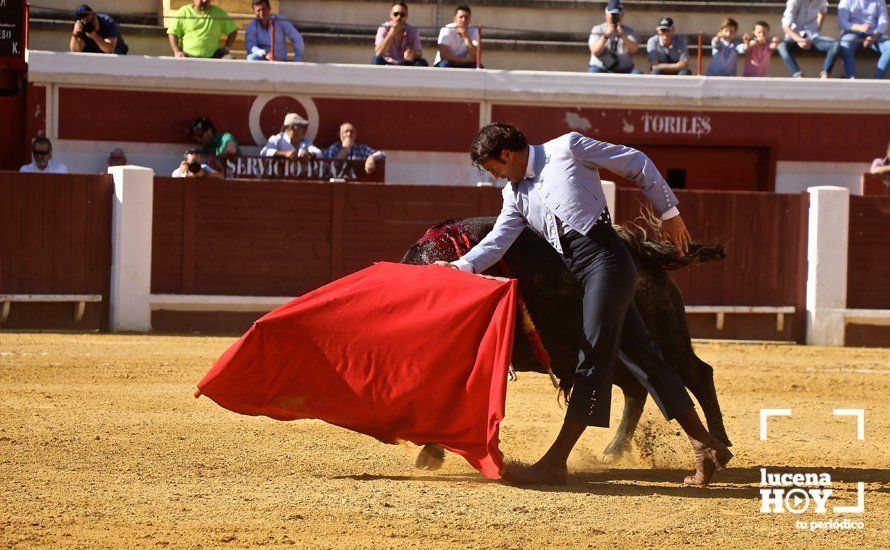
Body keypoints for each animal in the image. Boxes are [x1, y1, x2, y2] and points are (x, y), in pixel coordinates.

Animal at [400, 218, 728, 468]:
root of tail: (639, 250)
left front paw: (434, 450)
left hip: (665, 338)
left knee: (697, 374)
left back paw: (721, 447)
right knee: (637, 389)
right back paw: (613, 451)